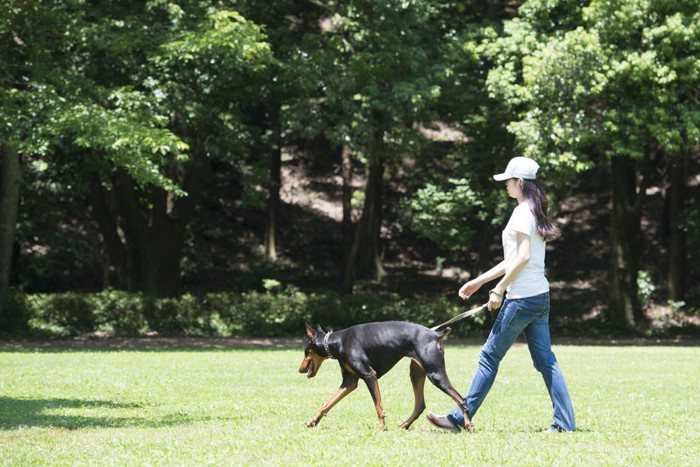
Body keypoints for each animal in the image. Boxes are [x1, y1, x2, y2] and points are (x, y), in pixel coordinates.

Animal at [298, 322, 474, 432]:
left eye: (306, 352)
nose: (300, 370)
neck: (338, 342)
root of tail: (437, 334)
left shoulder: (369, 375)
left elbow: (378, 407)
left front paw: (381, 427)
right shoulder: (350, 382)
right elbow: (327, 404)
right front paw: (313, 421)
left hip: (435, 374)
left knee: (461, 399)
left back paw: (469, 426)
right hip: (416, 372)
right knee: (420, 405)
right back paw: (403, 426)